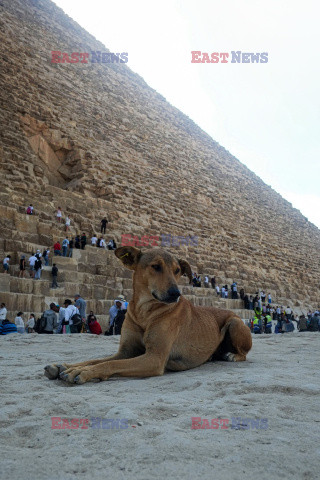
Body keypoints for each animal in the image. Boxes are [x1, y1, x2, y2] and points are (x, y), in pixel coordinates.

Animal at [43, 248, 252, 386]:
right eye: (155, 266)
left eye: (177, 270)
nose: (176, 293)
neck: (145, 311)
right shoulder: (125, 351)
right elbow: (98, 359)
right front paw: (65, 366)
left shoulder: (154, 358)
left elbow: (109, 364)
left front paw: (83, 372)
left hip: (235, 322)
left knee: (243, 353)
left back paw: (232, 355)